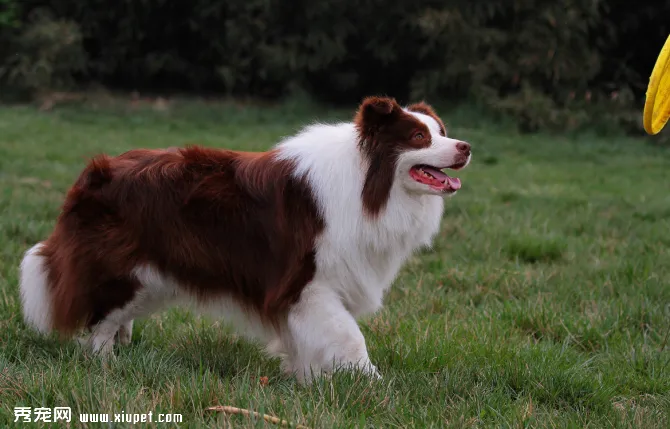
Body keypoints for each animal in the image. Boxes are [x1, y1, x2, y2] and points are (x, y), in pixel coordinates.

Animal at [19, 96, 472, 382]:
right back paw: (104, 364)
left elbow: (310, 338)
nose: (465, 146)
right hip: (125, 266)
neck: (369, 185)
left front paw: (307, 378)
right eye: (419, 138)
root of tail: (95, 171)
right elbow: (348, 336)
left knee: (116, 314)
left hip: (154, 274)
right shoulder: (308, 281)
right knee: (100, 318)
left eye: (443, 131)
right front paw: (373, 384)